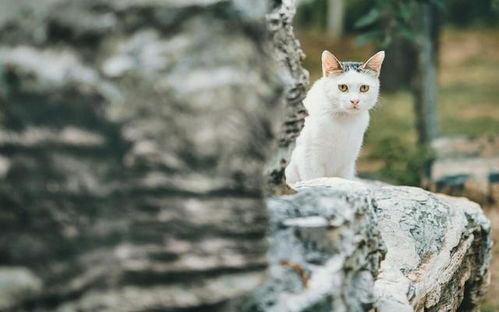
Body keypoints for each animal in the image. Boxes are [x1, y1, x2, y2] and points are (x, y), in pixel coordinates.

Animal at [286, 49, 386, 184]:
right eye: (342, 87)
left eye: (364, 88)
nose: (355, 101)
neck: (344, 120)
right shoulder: (309, 158)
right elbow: (314, 179)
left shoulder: (347, 163)